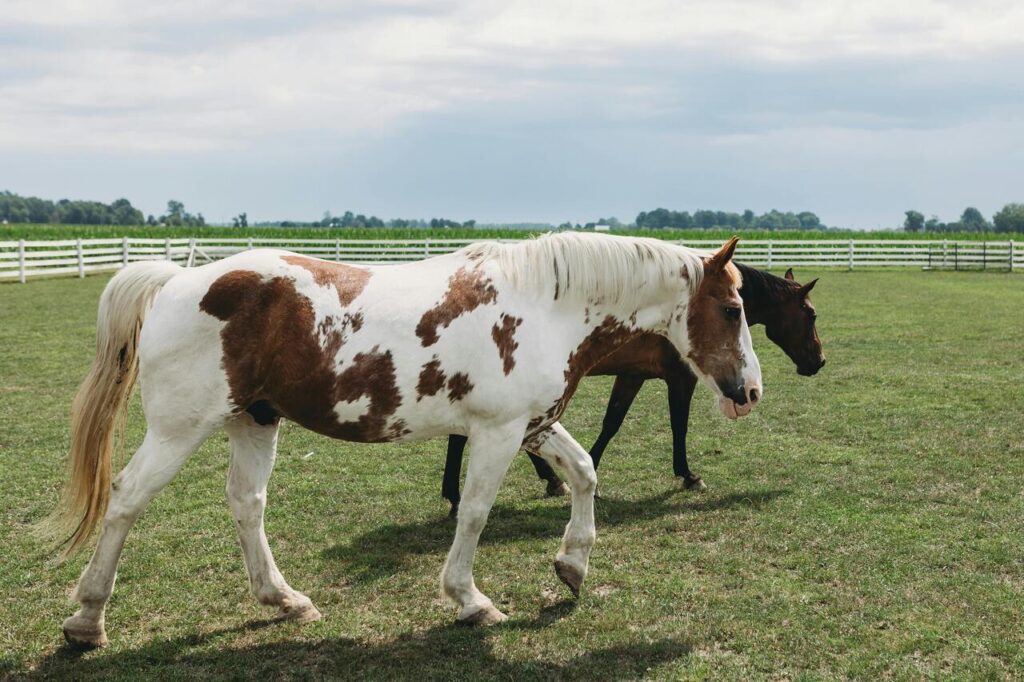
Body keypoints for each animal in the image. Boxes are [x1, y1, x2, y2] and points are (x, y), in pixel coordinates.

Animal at [45, 231, 763, 648]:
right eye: (732, 309)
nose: (749, 391)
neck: (543, 303)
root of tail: (174, 282)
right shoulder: (498, 432)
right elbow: (474, 513)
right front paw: (470, 600)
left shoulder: (533, 424)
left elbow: (585, 473)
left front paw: (572, 565)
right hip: (178, 430)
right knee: (126, 499)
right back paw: (87, 619)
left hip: (254, 421)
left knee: (247, 506)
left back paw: (283, 599)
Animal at [440, 265, 823, 515]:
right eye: (811, 314)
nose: (818, 361)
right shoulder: (681, 379)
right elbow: (678, 425)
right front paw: (687, 475)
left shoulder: (632, 376)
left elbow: (612, 423)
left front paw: (591, 472)